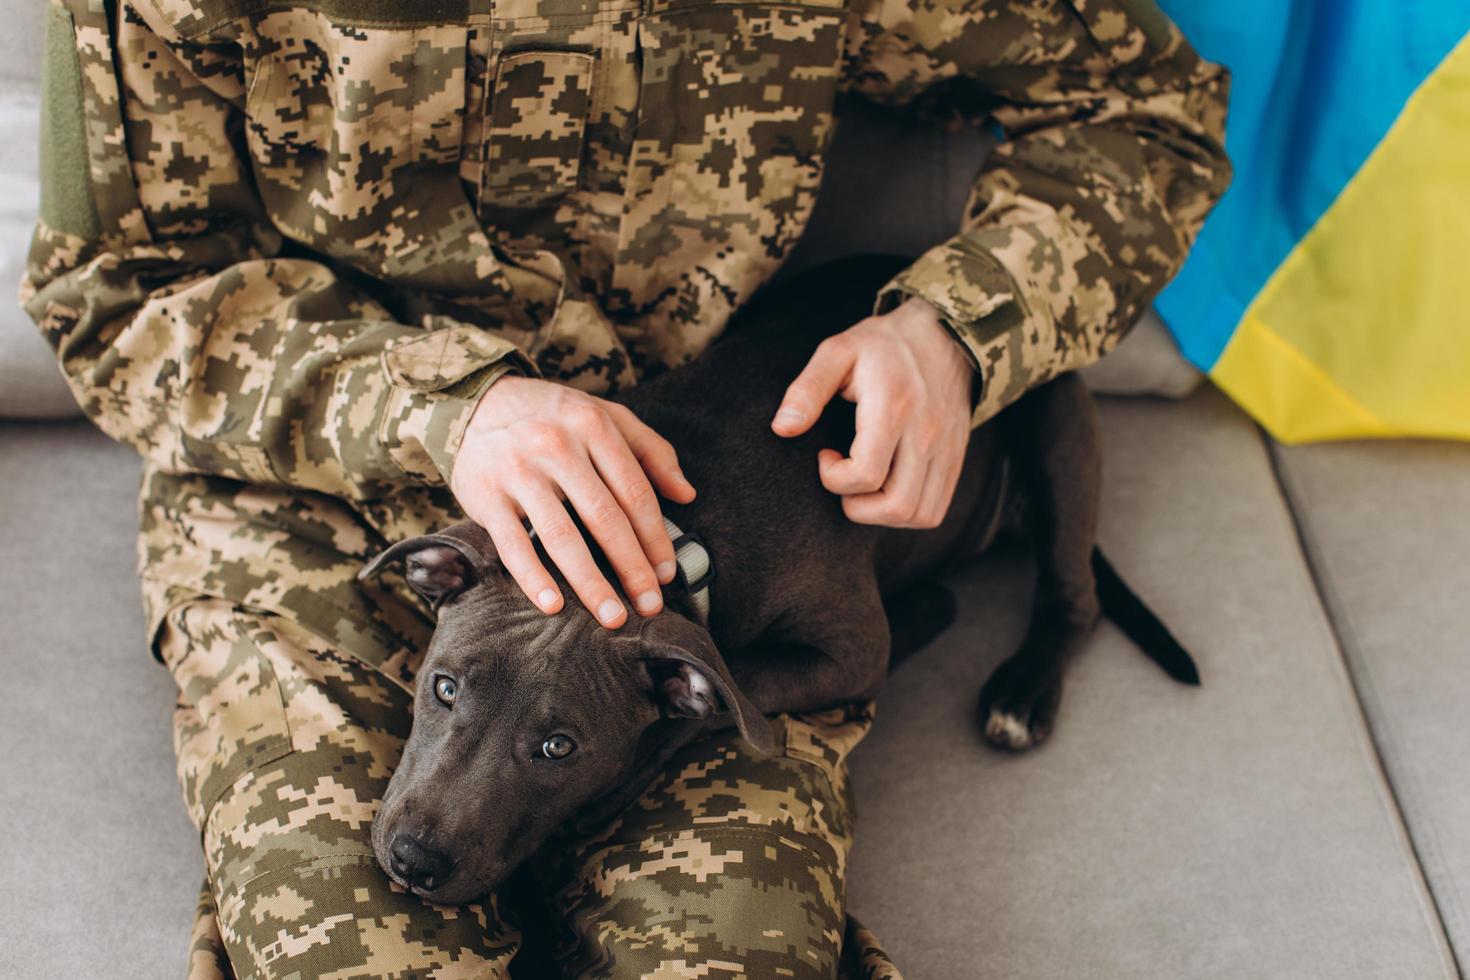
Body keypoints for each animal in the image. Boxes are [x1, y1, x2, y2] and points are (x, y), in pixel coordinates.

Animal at [355, 252, 1193, 905]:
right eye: (443, 688)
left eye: (560, 748)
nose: (415, 861)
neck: (665, 530)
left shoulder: (848, 649)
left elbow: (733, 683)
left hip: (1056, 422)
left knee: (1072, 594)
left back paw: (1021, 692)